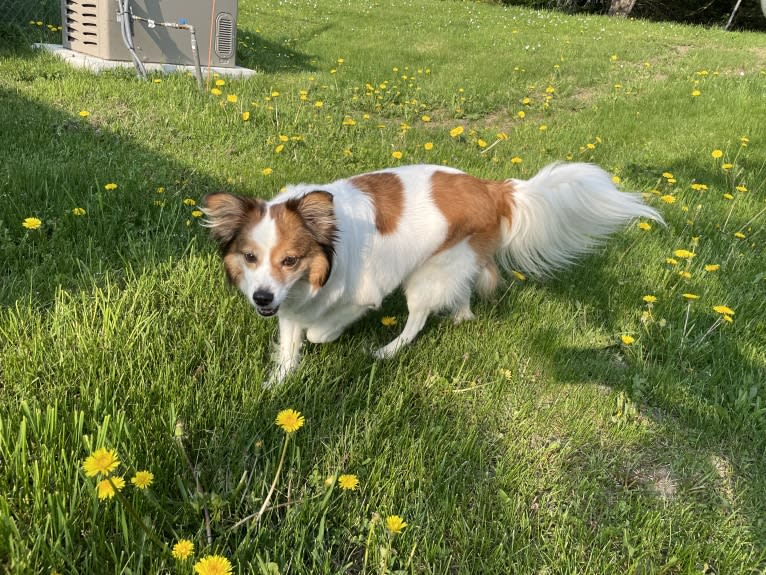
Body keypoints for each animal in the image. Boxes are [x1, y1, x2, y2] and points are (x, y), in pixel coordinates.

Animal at [204, 163, 664, 388]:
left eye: (290, 260)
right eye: (250, 257)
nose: (261, 299)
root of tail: (493, 188)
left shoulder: (361, 295)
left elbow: (317, 332)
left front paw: (324, 337)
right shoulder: (288, 304)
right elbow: (289, 343)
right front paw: (276, 385)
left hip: (427, 275)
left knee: (417, 319)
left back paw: (388, 350)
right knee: (461, 301)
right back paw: (459, 316)